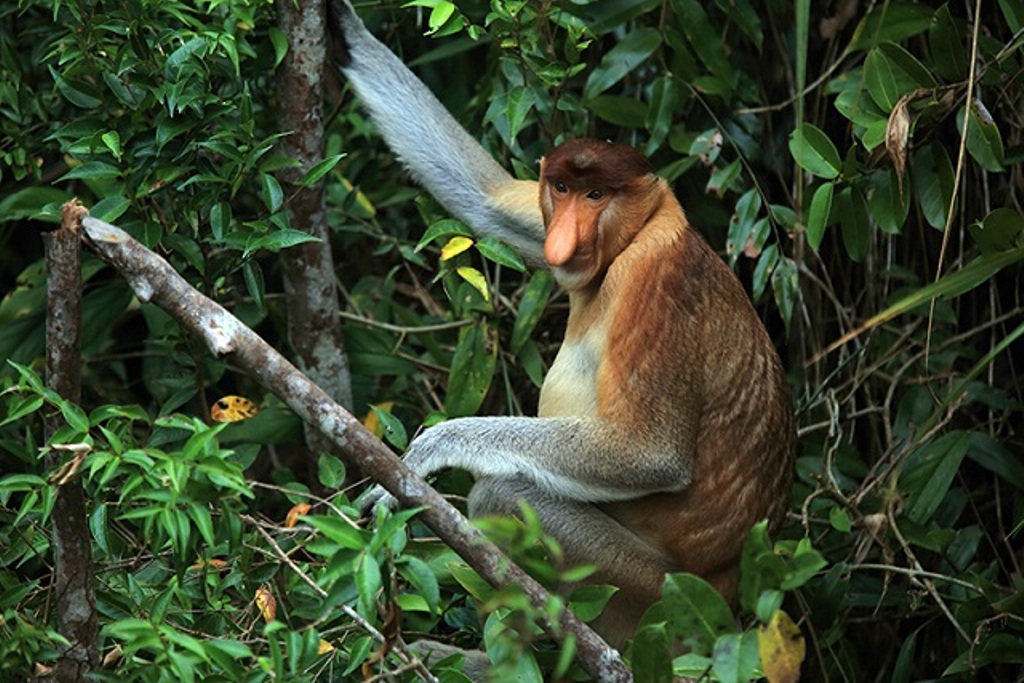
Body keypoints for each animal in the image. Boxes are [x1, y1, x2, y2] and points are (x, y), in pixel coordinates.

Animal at [331, 0, 794, 651]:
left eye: (598, 194)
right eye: (563, 189)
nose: (564, 242)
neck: (637, 231)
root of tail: (732, 602)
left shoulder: (654, 284)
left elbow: (648, 455)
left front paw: (428, 451)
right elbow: (488, 201)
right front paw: (343, 28)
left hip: (648, 592)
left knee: (504, 491)